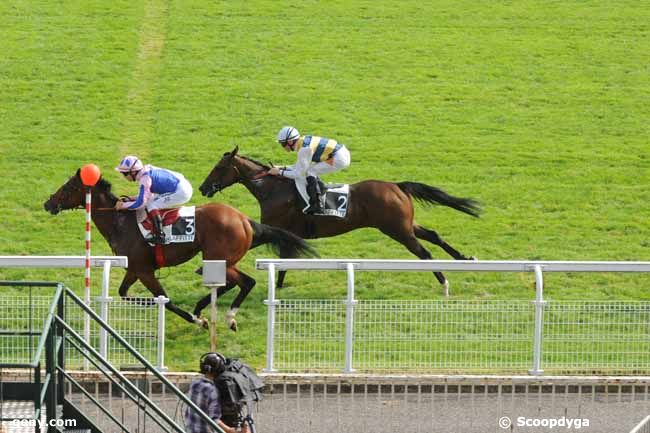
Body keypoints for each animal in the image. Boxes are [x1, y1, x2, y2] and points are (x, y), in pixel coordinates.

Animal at [43, 167, 316, 330]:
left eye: (68, 187)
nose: (48, 203)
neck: (120, 222)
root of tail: (244, 220)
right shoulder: (135, 269)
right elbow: (124, 293)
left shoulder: (145, 271)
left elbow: (165, 299)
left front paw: (197, 320)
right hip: (221, 260)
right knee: (234, 282)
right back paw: (208, 309)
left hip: (218, 258)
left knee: (245, 282)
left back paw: (226, 316)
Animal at [195, 145, 478, 294]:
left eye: (219, 168)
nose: (203, 187)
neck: (273, 189)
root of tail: (397, 185)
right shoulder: (283, 233)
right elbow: (285, 263)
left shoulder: (275, 229)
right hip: (405, 225)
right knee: (433, 235)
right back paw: (465, 259)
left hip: (397, 230)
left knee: (424, 252)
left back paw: (444, 282)